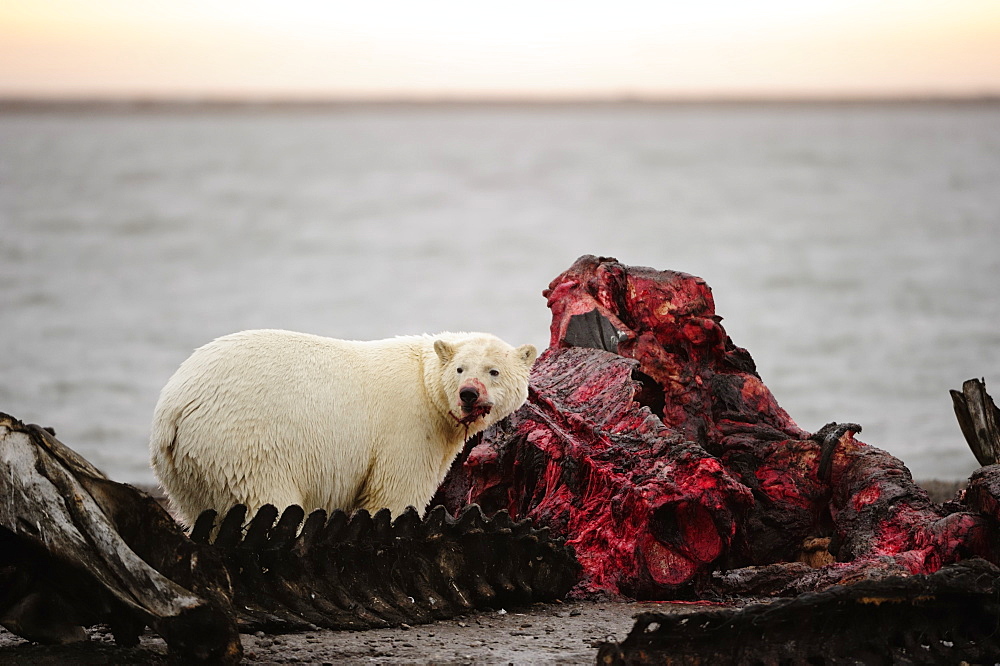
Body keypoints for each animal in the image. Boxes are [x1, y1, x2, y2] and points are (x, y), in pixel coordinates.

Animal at [148, 326, 536, 524]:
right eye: (460, 369)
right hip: (244, 444)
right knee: (267, 502)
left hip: (187, 466)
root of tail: (175, 407)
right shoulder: (408, 428)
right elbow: (393, 493)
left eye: (493, 371)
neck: (425, 383)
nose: (469, 393)